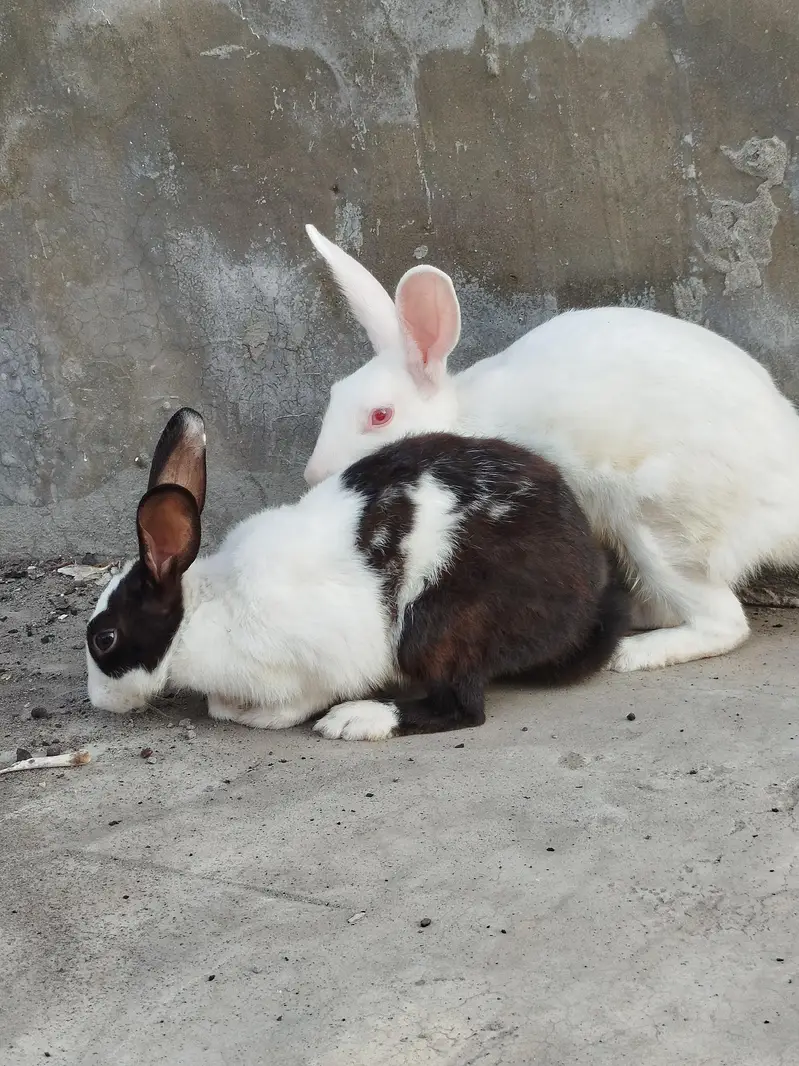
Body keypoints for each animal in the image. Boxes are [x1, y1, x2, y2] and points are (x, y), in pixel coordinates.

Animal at [85, 407, 628, 741]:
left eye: (104, 639)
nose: (98, 701)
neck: (201, 613)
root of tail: (585, 591)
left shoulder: (313, 663)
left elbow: (295, 702)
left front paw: (255, 716)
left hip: (436, 626)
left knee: (461, 708)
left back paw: (355, 721)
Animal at [302, 224, 799, 674]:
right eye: (334, 395)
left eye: (380, 416)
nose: (313, 476)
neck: (462, 417)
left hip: (663, 532)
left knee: (722, 622)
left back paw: (630, 654)